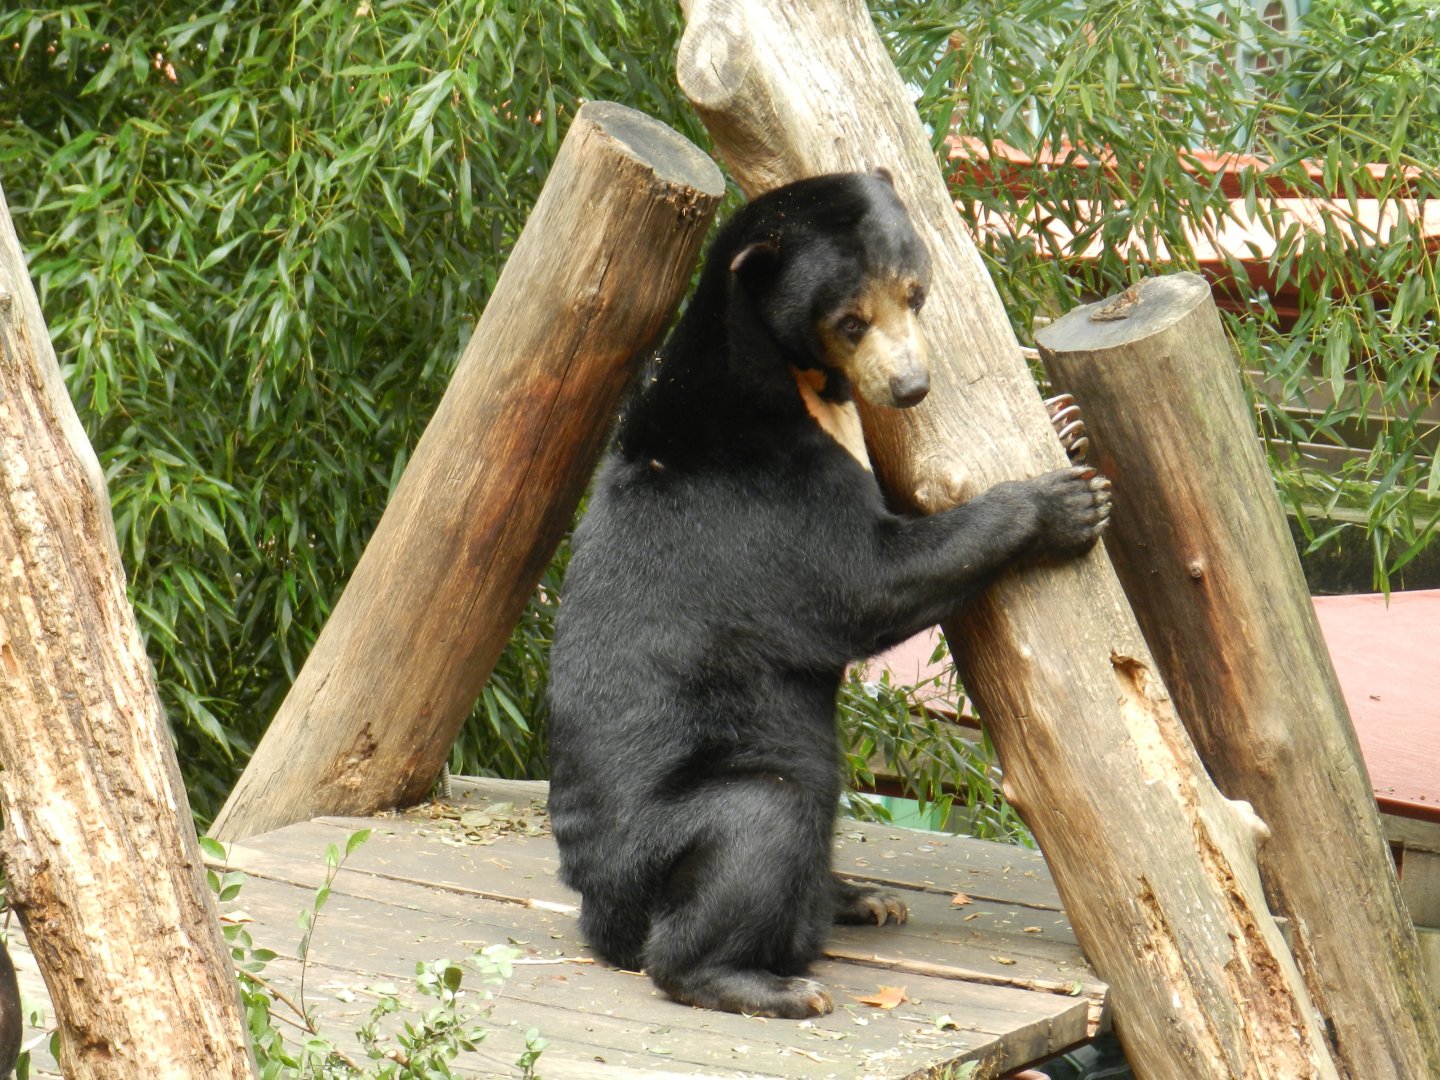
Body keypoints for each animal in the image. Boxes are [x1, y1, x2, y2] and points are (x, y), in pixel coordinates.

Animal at [545, 169, 1110, 1020]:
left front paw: (1067, 420)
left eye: (915, 293)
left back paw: (862, 897)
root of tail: (597, 910)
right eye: (850, 319)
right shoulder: (759, 490)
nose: (911, 387)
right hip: (676, 830)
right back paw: (773, 985)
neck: (790, 380)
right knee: (759, 829)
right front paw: (1064, 504)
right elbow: (864, 581)